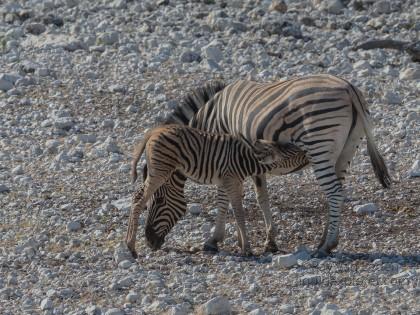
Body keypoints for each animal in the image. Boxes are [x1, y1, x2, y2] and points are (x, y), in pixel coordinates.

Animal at [124, 124, 306, 258]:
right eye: (295, 154)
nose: (308, 156)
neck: (247, 160)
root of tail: (156, 130)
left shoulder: (233, 182)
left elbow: (232, 209)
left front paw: (239, 243)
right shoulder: (231, 181)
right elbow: (239, 213)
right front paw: (247, 249)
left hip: (158, 171)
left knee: (136, 196)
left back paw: (129, 244)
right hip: (160, 171)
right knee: (139, 200)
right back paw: (131, 247)